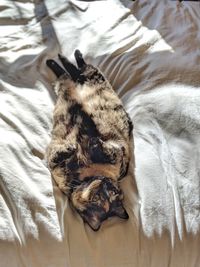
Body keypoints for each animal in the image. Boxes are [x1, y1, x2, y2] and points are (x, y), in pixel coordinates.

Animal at [45, 50, 133, 232]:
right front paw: (81, 144)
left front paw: (87, 143)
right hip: (86, 79)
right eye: (109, 191)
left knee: (70, 71)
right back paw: (65, 56)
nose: (105, 184)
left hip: (89, 77)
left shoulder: (118, 153)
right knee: (73, 70)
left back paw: (60, 58)